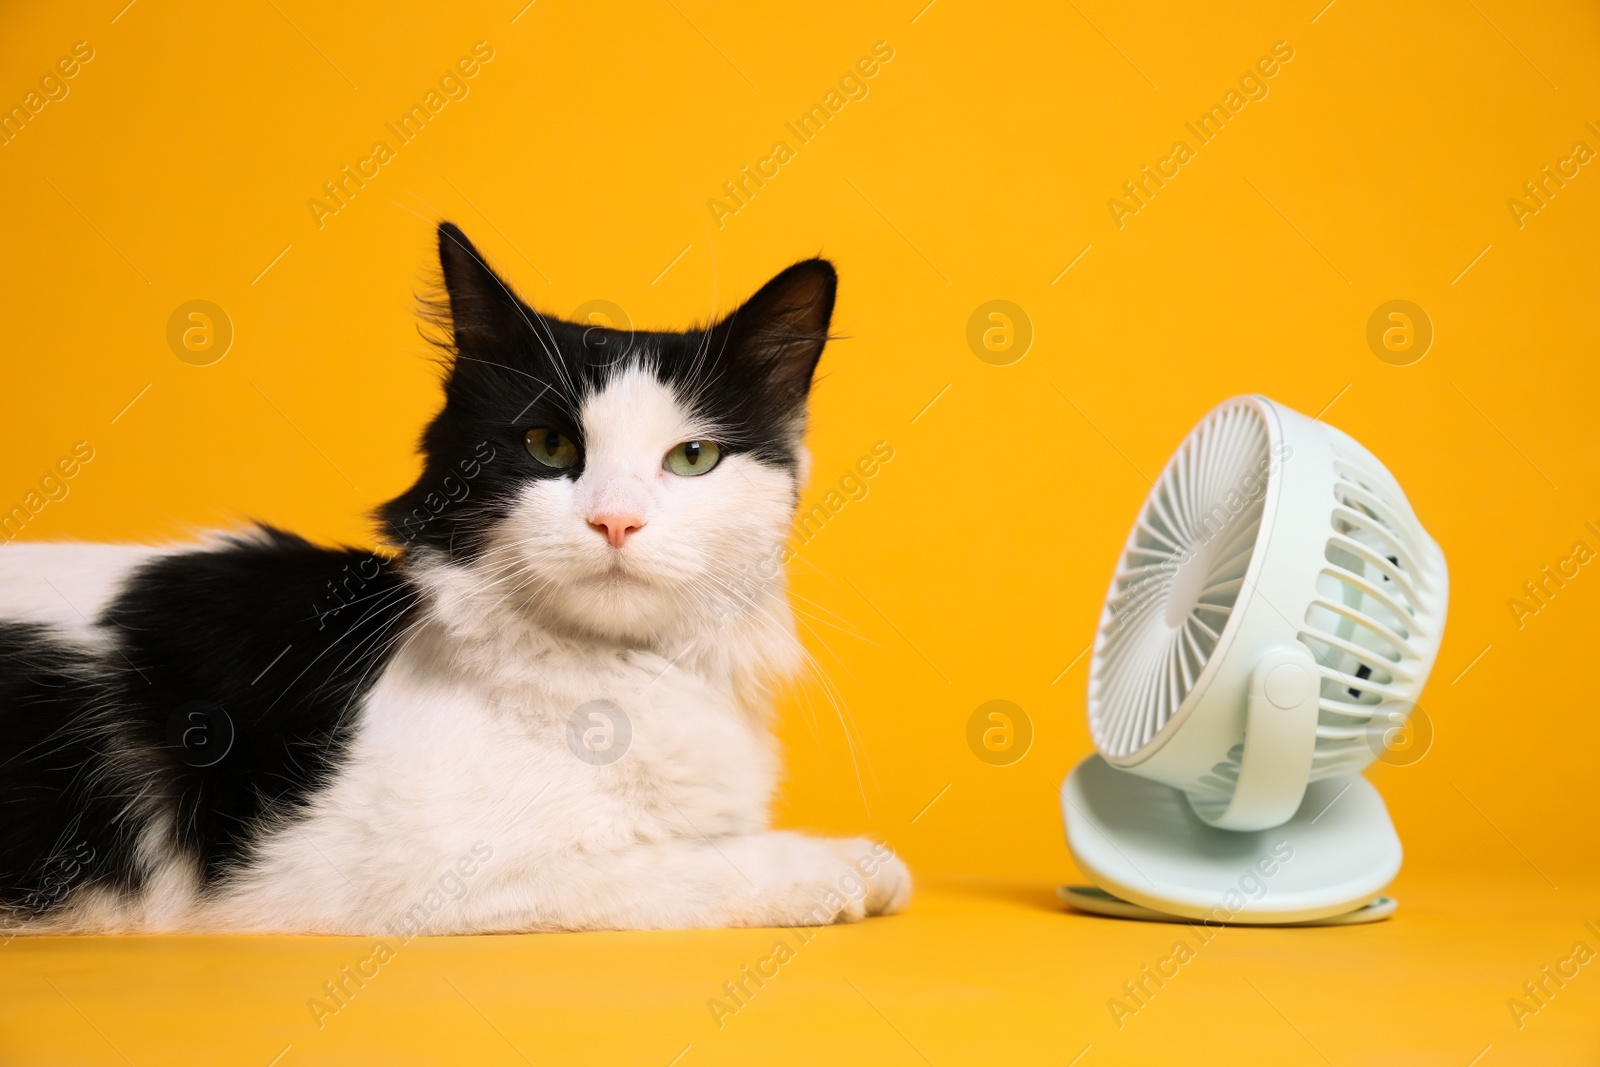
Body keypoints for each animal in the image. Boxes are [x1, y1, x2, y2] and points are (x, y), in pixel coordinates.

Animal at [0, 225, 908, 934]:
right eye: (549, 446)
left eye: (692, 457)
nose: (615, 520)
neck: (616, 680)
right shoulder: (398, 872)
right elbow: (669, 861)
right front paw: (832, 866)